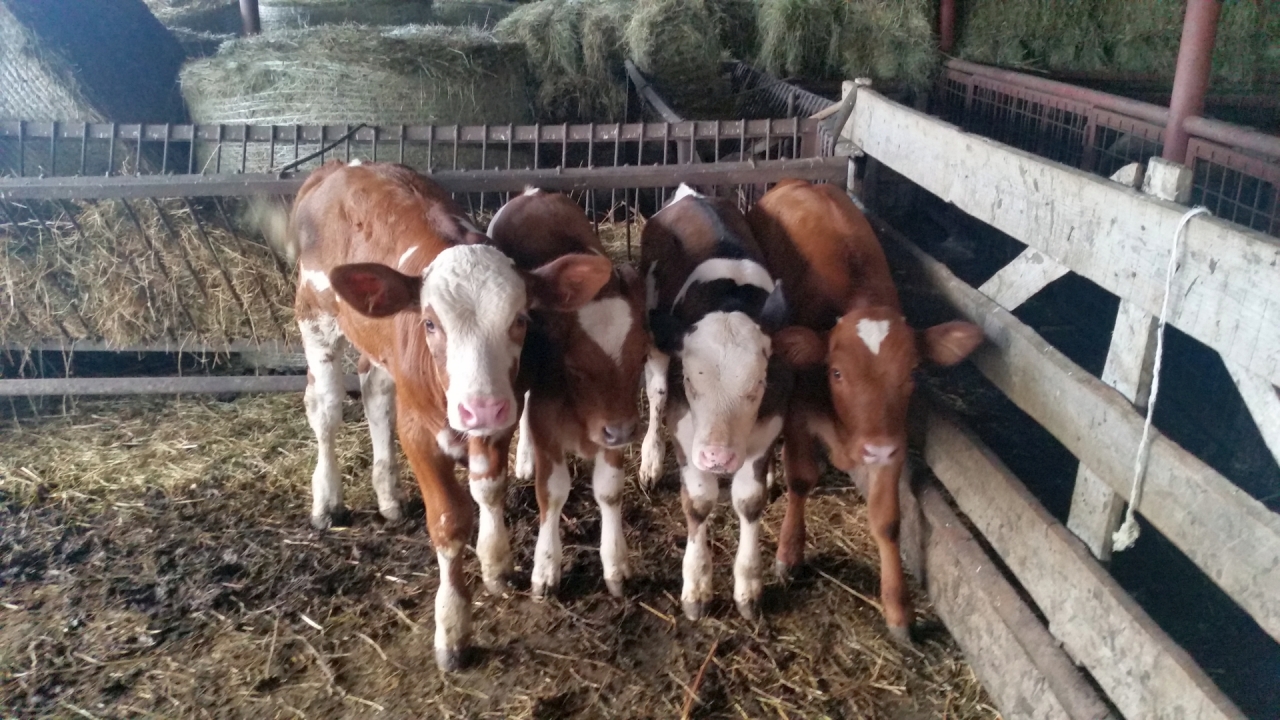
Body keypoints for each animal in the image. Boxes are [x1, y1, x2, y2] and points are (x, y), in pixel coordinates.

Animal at [273, 160, 613, 670]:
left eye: (520, 319)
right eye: (430, 323)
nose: (479, 406)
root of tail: (341, 167)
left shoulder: (503, 413)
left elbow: (488, 488)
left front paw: (496, 563)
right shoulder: (417, 431)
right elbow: (450, 521)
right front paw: (452, 627)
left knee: (374, 390)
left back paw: (388, 495)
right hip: (313, 313)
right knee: (326, 406)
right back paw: (327, 501)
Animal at [486, 187, 649, 599]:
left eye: (641, 356)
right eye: (574, 367)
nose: (622, 430)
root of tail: (533, 192)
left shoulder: (612, 427)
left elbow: (609, 491)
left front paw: (616, 565)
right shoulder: (548, 425)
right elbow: (552, 492)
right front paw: (546, 568)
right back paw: (524, 459)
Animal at [638, 184, 796, 622]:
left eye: (758, 382)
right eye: (692, 381)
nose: (717, 458)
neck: (730, 300)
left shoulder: (772, 417)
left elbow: (750, 500)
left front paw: (748, 587)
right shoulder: (684, 426)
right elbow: (698, 502)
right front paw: (696, 586)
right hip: (656, 336)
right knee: (656, 394)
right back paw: (650, 460)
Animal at [747, 179, 984, 644]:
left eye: (912, 372)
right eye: (836, 372)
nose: (873, 449)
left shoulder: (894, 440)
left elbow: (888, 520)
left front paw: (899, 610)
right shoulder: (799, 414)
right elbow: (800, 479)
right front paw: (789, 553)